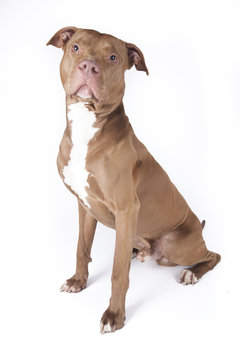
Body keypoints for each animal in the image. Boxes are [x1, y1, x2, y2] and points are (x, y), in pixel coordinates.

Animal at [47, 27, 221, 334]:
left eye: (113, 57)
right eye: (76, 47)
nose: (88, 66)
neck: (87, 125)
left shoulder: (127, 208)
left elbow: (118, 274)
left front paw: (114, 315)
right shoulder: (85, 205)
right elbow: (82, 248)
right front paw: (78, 281)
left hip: (177, 245)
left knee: (213, 256)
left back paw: (191, 273)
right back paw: (137, 252)